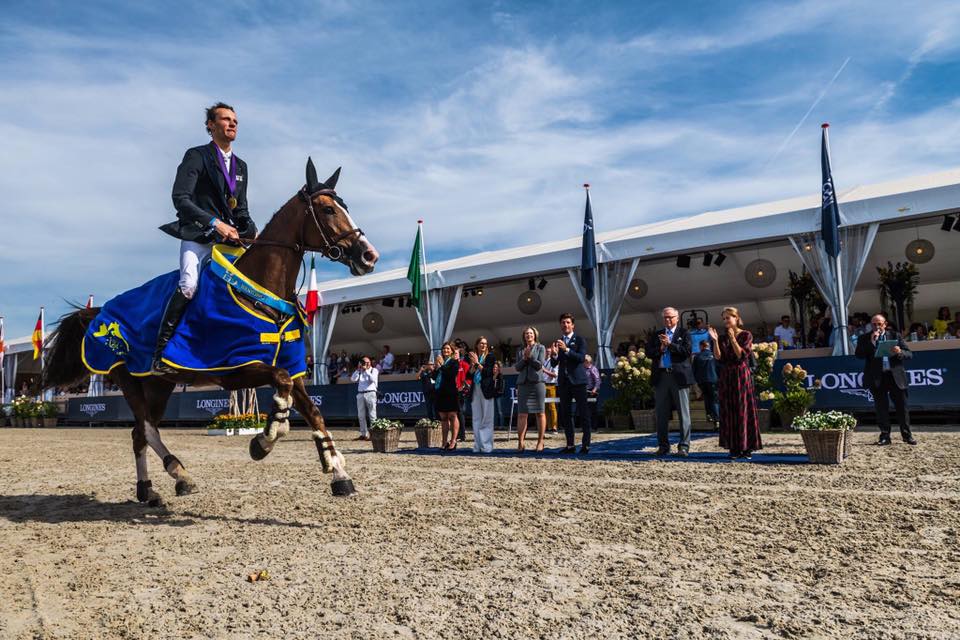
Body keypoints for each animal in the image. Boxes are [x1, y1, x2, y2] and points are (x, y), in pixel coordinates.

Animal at [41, 159, 378, 504]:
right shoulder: (237, 369)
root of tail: (101, 311)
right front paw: (265, 440)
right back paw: (179, 472)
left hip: (159, 386)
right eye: (328, 210)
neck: (259, 292)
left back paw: (151, 488)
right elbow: (280, 384)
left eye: (344, 207)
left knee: (140, 432)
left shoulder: (293, 369)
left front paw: (338, 472)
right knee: (146, 428)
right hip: (128, 378)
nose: (369, 255)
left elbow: (313, 411)